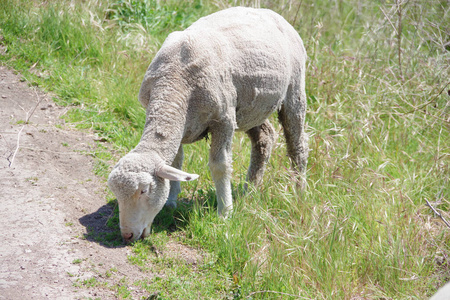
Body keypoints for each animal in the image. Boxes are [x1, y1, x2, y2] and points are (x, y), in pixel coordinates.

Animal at [107, 5, 308, 243]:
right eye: (115, 193)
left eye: (143, 191)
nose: (127, 235)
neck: (174, 83)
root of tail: (269, 12)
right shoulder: (182, 124)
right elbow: (177, 163)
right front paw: (171, 203)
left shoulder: (224, 119)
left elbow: (220, 166)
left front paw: (225, 213)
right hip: (252, 107)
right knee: (265, 139)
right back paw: (249, 191)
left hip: (294, 91)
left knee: (297, 147)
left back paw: (299, 192)